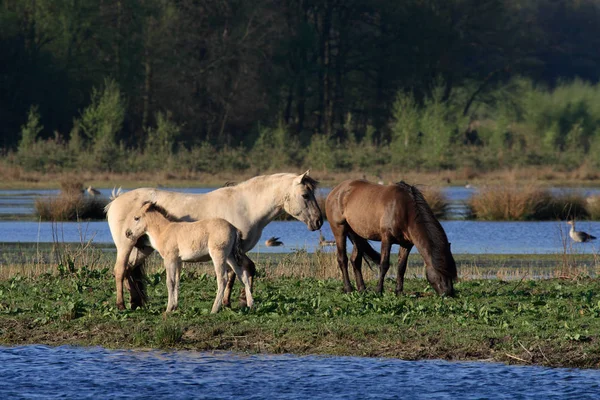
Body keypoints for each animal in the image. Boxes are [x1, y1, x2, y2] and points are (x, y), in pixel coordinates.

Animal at [105, 171, 322, 310]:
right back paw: (121, 305)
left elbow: (243, 271)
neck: (246, 206)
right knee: (120, 270)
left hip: (142, 248)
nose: (319, 221)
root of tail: (115, 200)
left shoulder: (236, 251)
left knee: (129, 269)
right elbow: (237, 273)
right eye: (305, 195)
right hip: (126, 245)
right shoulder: (235, 251)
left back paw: (137, 302)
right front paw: (234, 302)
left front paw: (238, 301)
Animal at [326, 180, 458, 296]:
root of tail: (336, 191)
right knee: (342, 259)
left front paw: (398, 291)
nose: (449, 293)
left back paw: (362, 289)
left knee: (355, 260)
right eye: (443, 270)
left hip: (357, 234)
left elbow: (401, 267)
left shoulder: (406, 244)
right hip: (339, 230)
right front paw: (378, 290)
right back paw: (348, 288)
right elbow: (384, 264)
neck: (404, 210)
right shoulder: (386, 239)